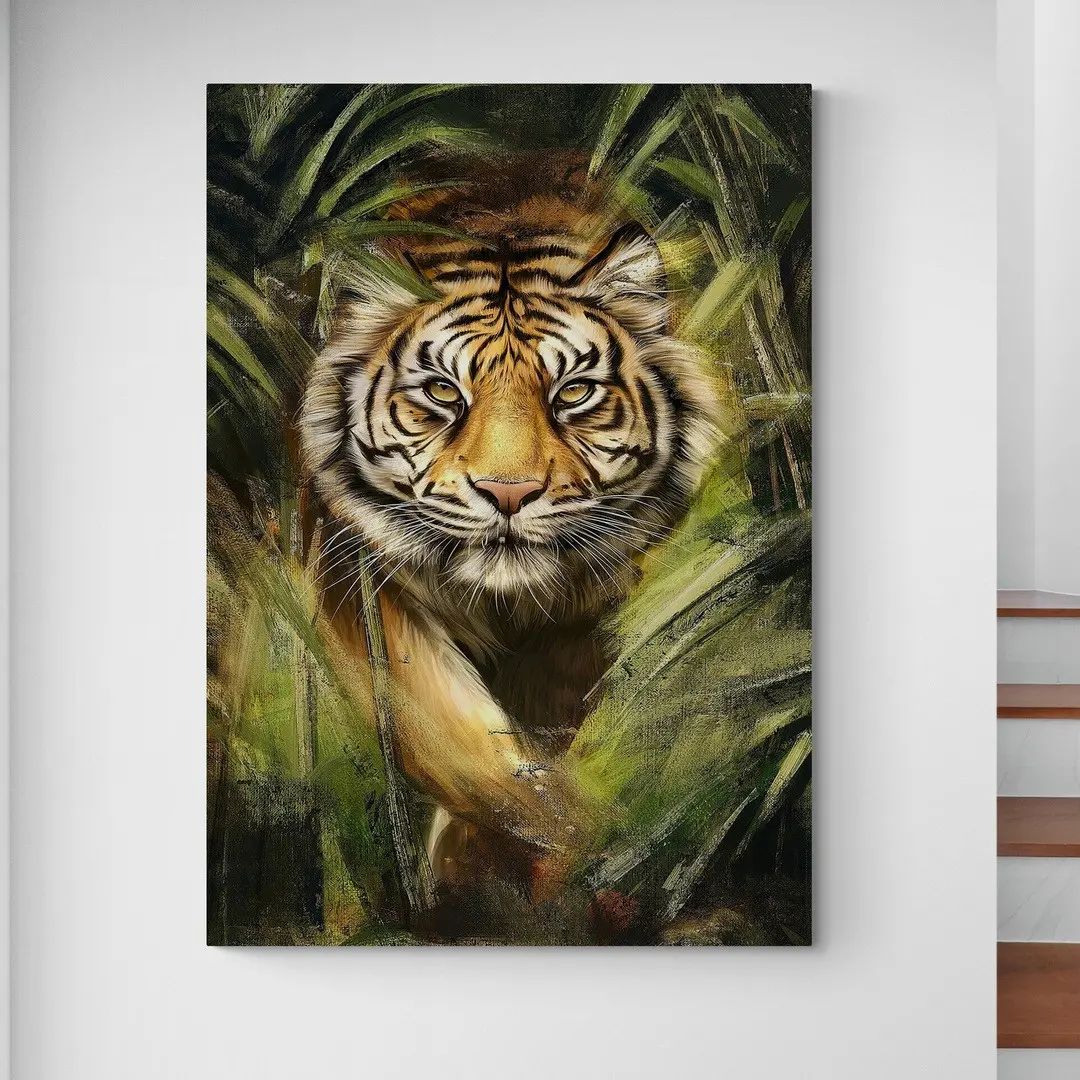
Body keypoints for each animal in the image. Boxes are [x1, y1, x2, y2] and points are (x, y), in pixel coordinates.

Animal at [299, 156, 721, 890]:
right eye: (443, 391)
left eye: (573, 392)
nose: (509, 492)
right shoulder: (359, 575)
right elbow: (451, 735)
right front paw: (554, 836)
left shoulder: (580, 615)